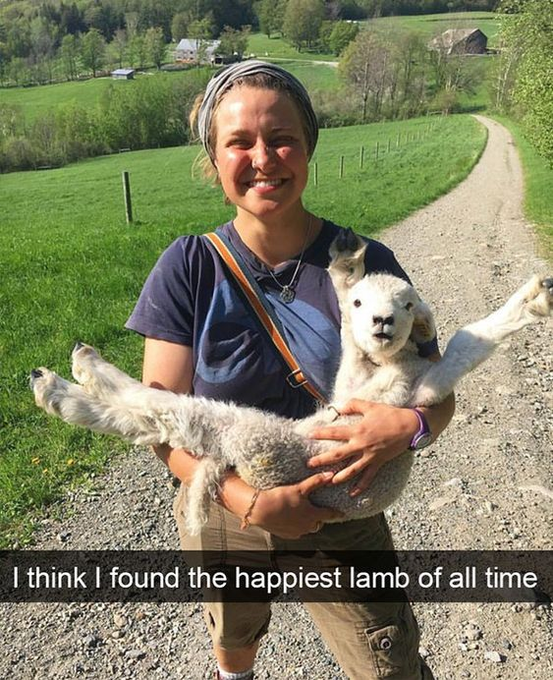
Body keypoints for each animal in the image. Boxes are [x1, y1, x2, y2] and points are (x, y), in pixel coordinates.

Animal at [30, 231, 553, 534]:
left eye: (408, 305)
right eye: (363, 305)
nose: (383, 321)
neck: (382, 367)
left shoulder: (415, 391)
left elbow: (466, 343)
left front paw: (530, 303)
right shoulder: (349, 382)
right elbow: (345, 328)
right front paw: (345, 267)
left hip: (260, 439)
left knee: (164, 413)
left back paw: (66, 382)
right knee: (159, 418)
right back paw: (63, 376)